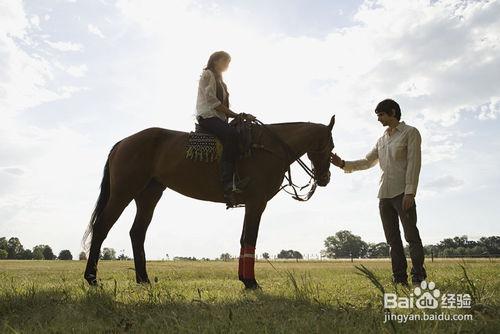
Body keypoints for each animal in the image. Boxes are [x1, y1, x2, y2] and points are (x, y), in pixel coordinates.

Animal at [82, 114, 336, 288]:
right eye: (331, 145)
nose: (325, 178)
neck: (270, 147)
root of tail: (123, 142)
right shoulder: (257, 203)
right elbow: (250, 239)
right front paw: (251, 282)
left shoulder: (250, 204)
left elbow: (243, 239)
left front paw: (244, 279)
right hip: (123, 193)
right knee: (102, 227)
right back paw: (91, 278)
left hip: (148, 195)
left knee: (137, 232)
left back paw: (143, 279)